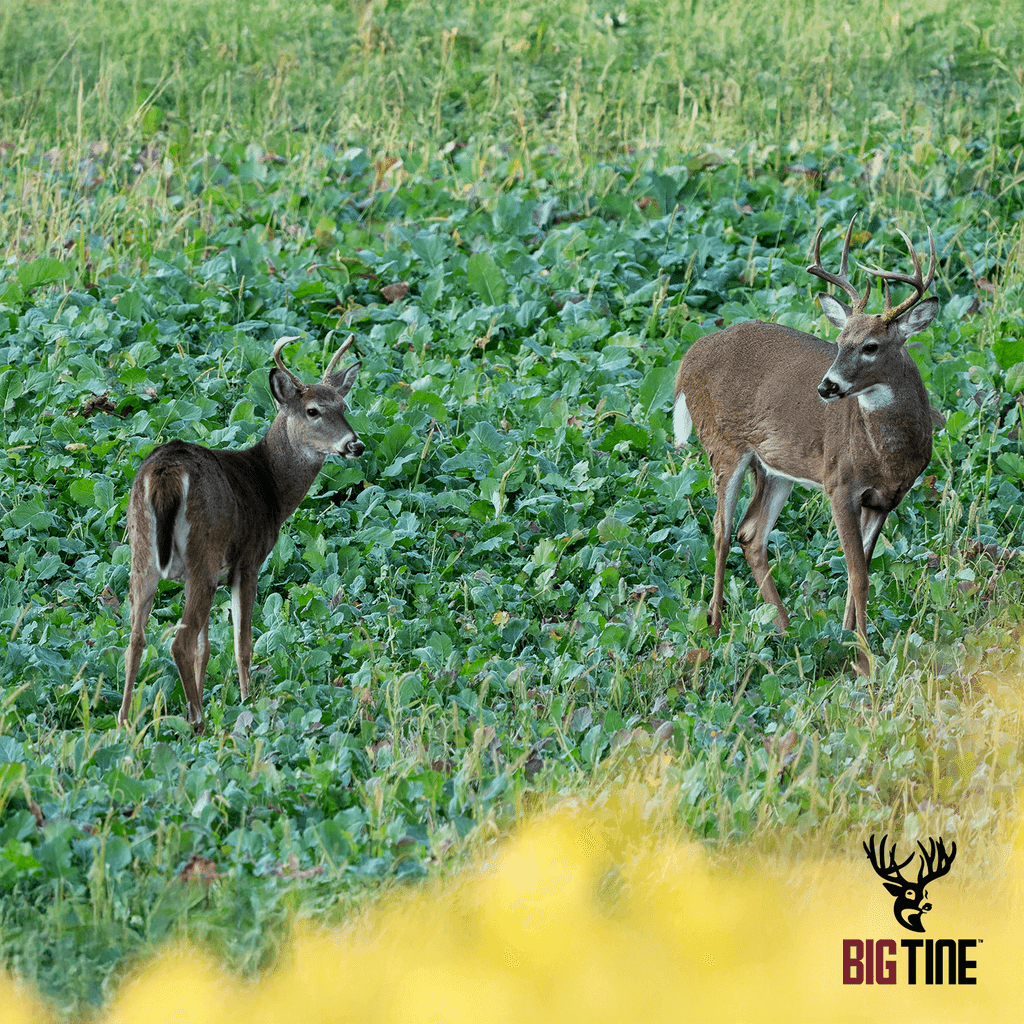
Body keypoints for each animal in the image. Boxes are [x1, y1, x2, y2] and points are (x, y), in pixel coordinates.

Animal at [119, 334, 364, 733]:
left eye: (343, 405)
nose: (354, 445)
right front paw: (247, 703)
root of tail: (165, 474)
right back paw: (198, 722)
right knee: (179, 641)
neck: (270, 487)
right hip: (203, 552)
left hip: (141, 552)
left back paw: (125, 721)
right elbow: (241, 644)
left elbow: (206, 649)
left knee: (136, 638)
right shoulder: (248, 562)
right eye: (312, 410)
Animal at [673, 216, 941, 673]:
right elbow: (858, 574)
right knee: (721, 530)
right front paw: (866, 661)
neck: (887, 454)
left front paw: (848, 644)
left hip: (776, 466)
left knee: (750, 533)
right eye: (839, 342)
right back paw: (714, 626)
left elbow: (860, 568)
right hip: (724, 445)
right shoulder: (839, 482)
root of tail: (687, 356)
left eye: (870, 346)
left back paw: (786, 630)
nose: (827, 386)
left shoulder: (886, 499)